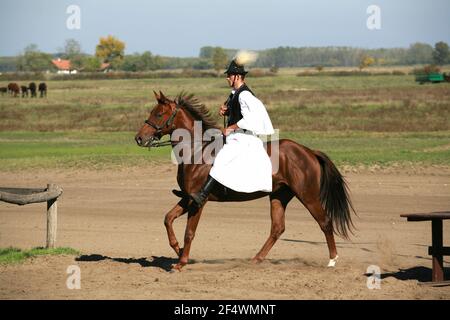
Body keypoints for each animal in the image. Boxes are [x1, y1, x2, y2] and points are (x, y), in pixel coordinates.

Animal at [134, 90, 356, 270]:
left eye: (158, 114)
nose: (139, 138)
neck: (196, 151)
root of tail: (308, 152)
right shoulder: (188, 198)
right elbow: (168, 219)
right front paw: (178, 251)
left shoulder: (198, 201)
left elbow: (189, 232)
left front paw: (181, 262)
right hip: (279, 195)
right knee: (277, 228)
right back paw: (256, 260)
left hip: (307, 195)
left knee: (324, 222)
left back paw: (332, 260)